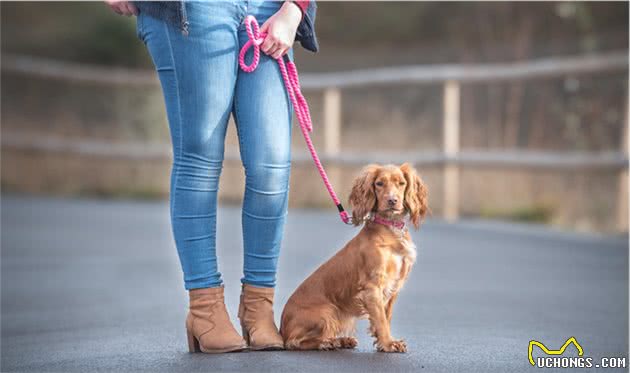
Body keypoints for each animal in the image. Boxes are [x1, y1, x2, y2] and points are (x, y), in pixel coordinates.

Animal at [282, 162, 430, 352]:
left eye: (401, 183)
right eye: (379, 183)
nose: (392, 201)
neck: (391, 229)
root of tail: (282, 328)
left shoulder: (394, 286)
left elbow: (386, 316)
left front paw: (383, 341)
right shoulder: (372, 286)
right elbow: (381, 319)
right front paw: (388, 343)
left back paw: (342, 340)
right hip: (329, 310)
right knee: (294, 342)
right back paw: (328, 342)